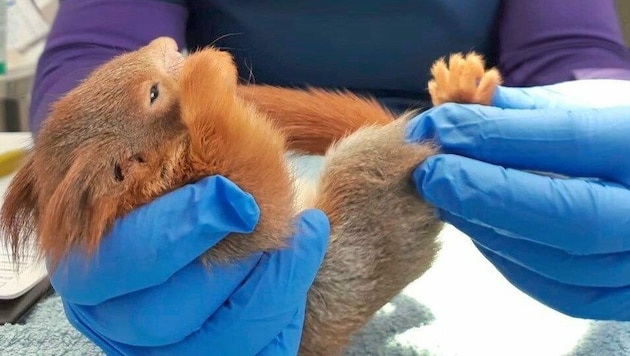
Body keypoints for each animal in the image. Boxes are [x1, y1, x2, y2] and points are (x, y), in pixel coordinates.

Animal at [1, 37, 504, 354]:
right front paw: (206, 70)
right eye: (153, 94)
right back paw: (461, 99)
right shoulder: (242, 215)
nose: (168, 43)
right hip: (373, 177)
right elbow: (255, 167)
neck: (172, 173)